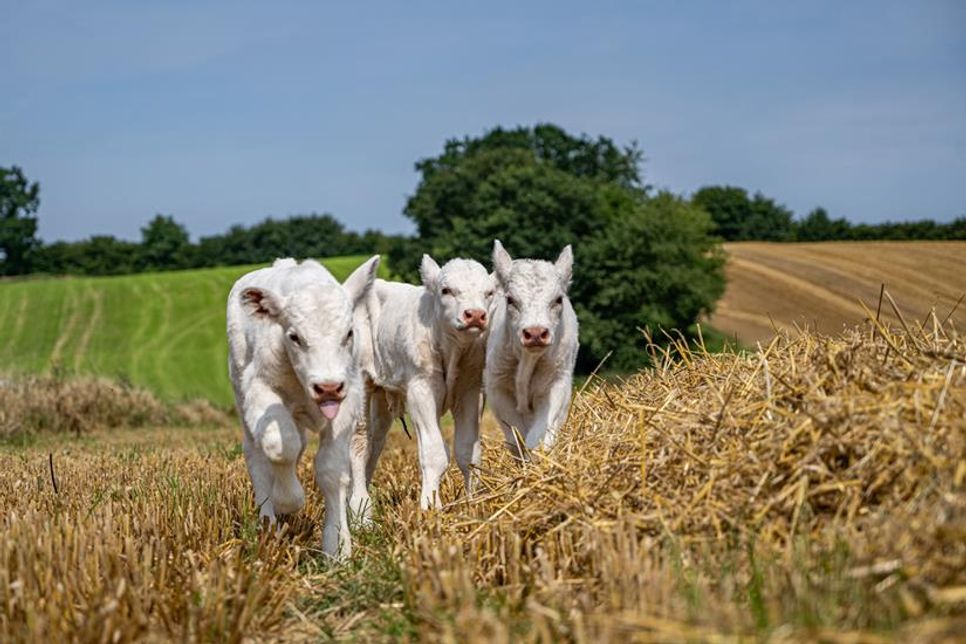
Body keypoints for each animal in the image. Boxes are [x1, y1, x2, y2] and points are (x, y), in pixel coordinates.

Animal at [227, 256, 378, 560]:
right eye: (294, 336)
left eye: (349, 333)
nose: (328, 386)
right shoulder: (259, 387)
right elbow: (279, 446)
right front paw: (287, 500)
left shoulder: (348, 400)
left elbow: (331, 470)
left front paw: (337, 547)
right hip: (242, 393)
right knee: (257, 456)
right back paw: (268, 523)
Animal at [352, 254, 496, 510]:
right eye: (446, 290)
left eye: (489, 292)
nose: (475, 315)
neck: (452, 351)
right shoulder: (421, 390)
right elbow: (434, 452)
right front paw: (430, 505)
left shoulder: (471, 390)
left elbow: (468, 452)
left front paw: (474, 503)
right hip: (360, 382)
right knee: (358, 442)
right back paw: (360, 507)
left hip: (381, 393)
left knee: (374, 441)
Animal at [488, 242, 580, 452]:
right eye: (510, 300)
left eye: (558, 299)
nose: (536, 333)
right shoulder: (497, 388)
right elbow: (517, 437)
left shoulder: (558, 384)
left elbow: (538, 438)